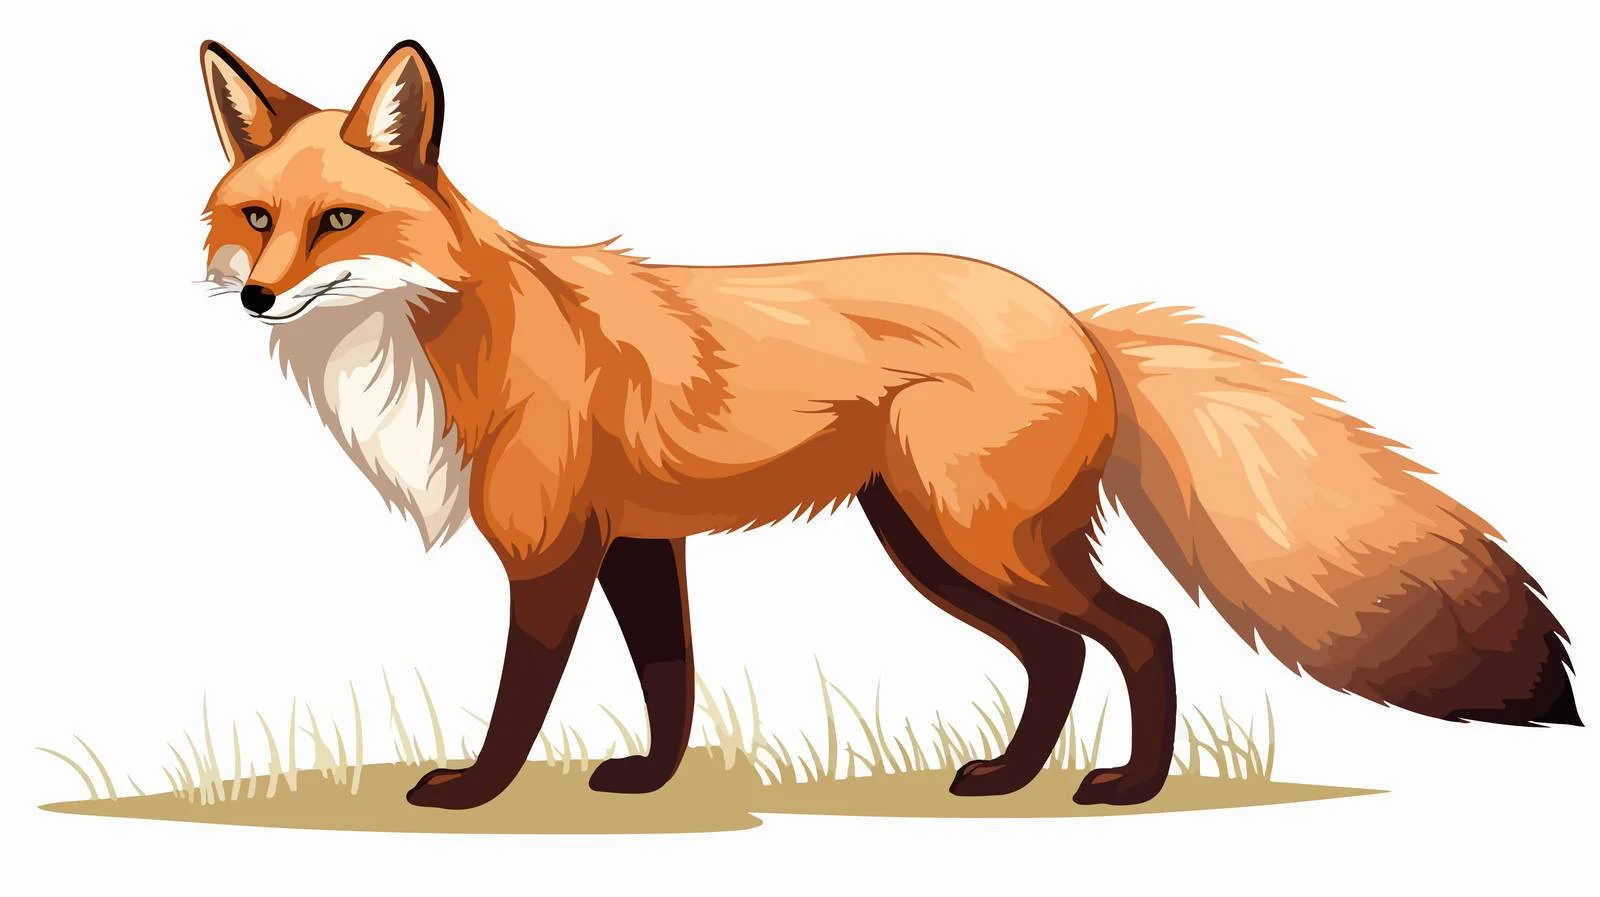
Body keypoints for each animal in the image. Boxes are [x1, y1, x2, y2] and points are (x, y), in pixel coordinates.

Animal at [198, 39, 1579, 810]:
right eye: (258, 217)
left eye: (340, 222)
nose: (255, 296)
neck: (446, 337)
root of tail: (1078, 319)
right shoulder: (639, 543)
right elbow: (668, 680)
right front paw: (649, 783)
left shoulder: (549, 552)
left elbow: (518, 699)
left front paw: (472, 794)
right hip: (930, 544)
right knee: (1061, 656)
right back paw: (1010, 779)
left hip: (971, 538)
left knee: (1137, 632)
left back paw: (1126, 788)